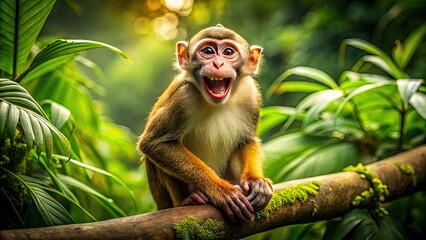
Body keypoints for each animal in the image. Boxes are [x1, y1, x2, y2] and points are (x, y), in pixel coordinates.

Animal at [139, 24, 272, 221]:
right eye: (208, 51)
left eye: (228, 52)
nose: (218, 64)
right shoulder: (183, 97)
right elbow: (154, 143)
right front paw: (220, 189)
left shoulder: (251, 94)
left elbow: (246, 140)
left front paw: (256, 182)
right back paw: (187, 200)